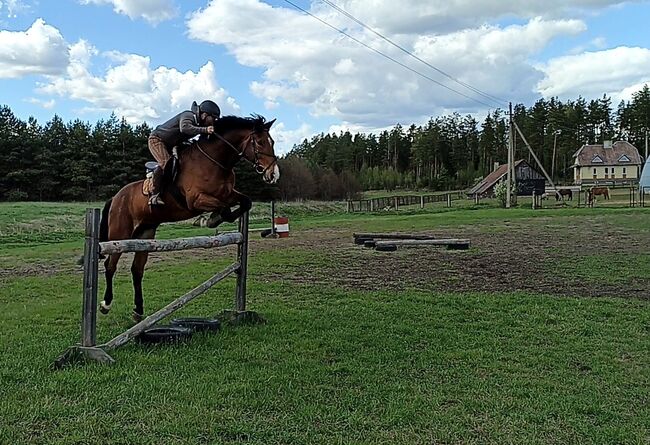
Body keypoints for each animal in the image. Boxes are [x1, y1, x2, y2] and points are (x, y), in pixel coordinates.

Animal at [98, 114, 276, 320]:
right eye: (260, 142)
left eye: (272, 142)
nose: (273, 174)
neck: (214, 161)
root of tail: (116, 197)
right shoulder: (196, 200)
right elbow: (223, 208)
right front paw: (211, 219)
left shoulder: (229, 194)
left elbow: (245, 202)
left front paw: (216, 219)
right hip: (120, 233)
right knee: (110, 265)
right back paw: (106, 304)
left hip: (145, 233)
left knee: (137, 269)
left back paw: (138, 310)